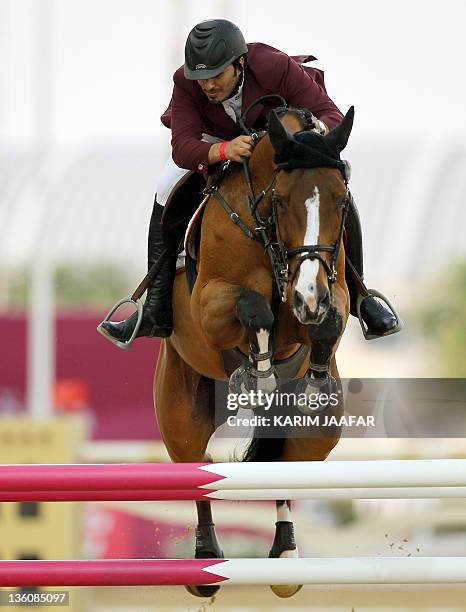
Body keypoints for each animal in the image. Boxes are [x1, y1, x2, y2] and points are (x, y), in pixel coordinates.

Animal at [154, 106, 354, 596]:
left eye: (340, 201)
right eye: (281, 201)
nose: (308, 296)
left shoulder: (330, 291)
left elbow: (329, 321)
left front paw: (313, 381)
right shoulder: (209, 305)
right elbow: (254, 306)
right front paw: (259, 375)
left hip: (319, 437)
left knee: (285, 466)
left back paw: (285, 558)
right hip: (180, 409)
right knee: (197, 468)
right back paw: (206, 563)